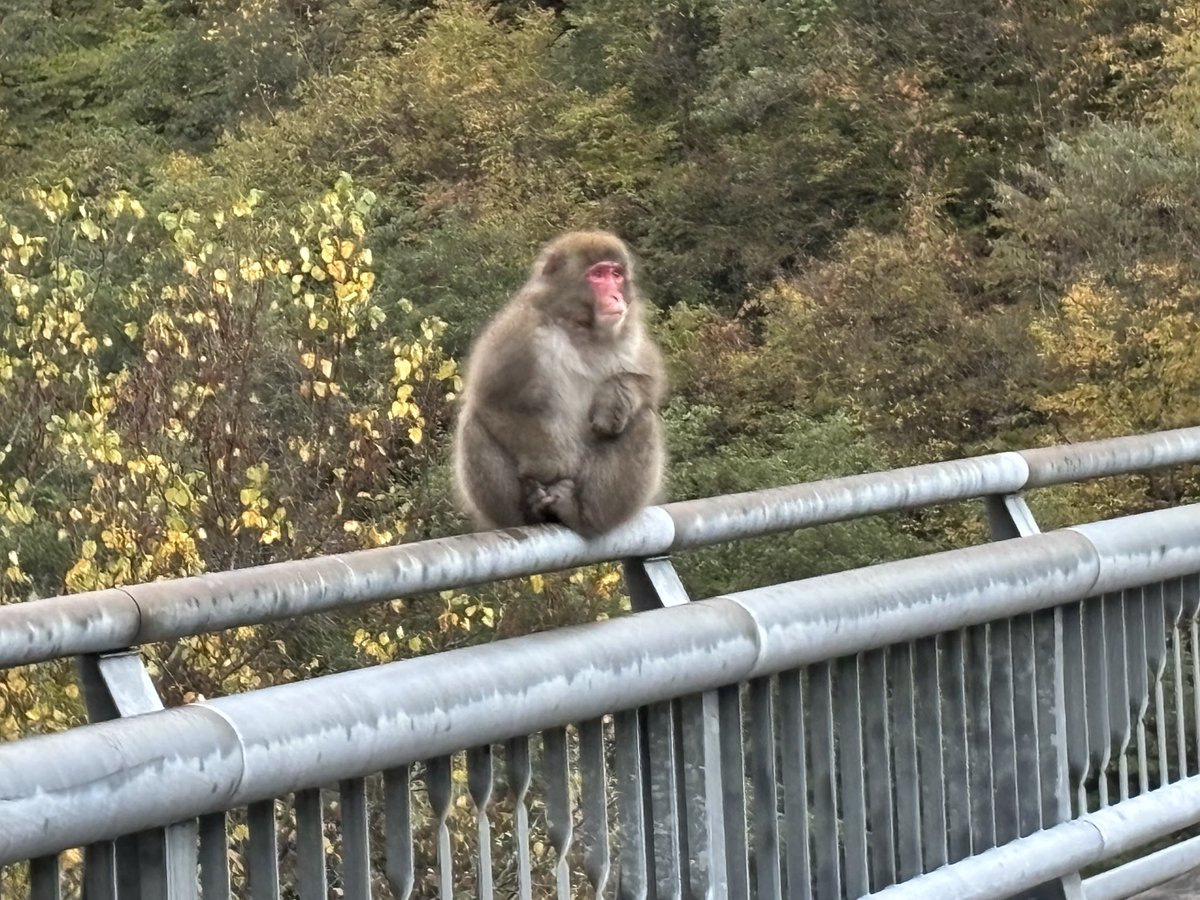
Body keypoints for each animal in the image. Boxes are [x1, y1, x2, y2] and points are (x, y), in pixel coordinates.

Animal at [452, 231, 666, 537]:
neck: (580, 326)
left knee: (643, 419)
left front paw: (616, 397)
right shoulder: (517, 331)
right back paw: (531, 511)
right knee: (472, 423)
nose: (616, 296)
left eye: (616, 274)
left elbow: (652, 382)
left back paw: (583, 515)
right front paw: (551, 467)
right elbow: (490, 402)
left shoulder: (631, 332)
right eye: (598, 275)